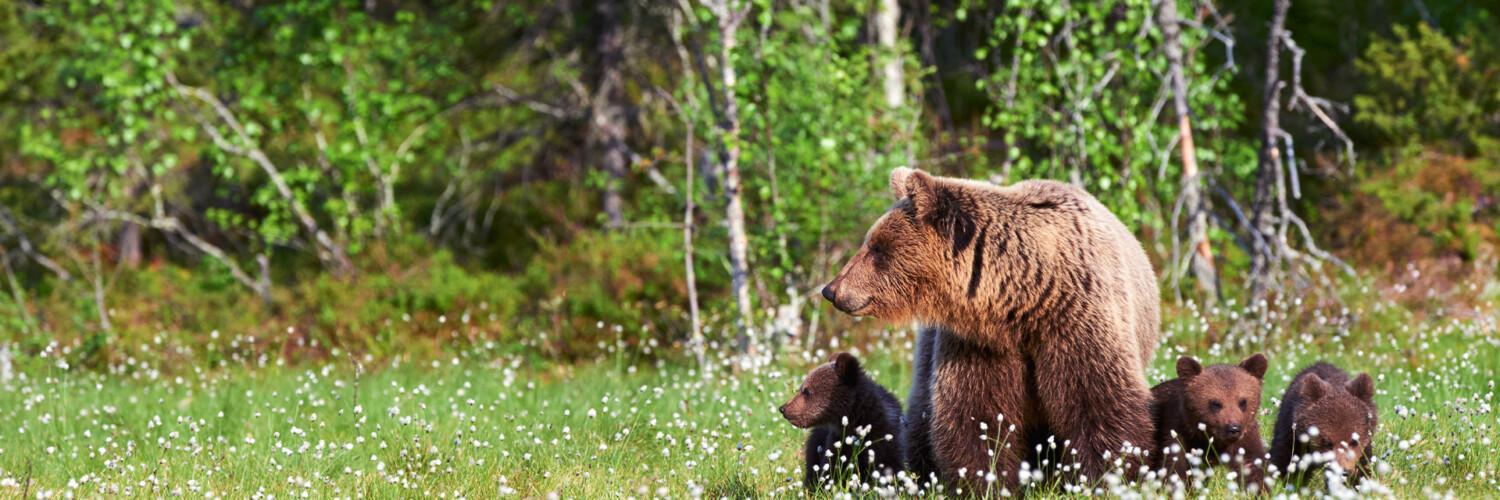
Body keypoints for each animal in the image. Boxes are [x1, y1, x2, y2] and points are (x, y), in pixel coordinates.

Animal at [786, 349, 900, 486]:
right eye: (802, 389)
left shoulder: (883, 440)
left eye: (807, 391)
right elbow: (832, 469)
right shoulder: (837, 441)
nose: (783, 409)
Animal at [822, 166, 1158, 489]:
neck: (1024, 298)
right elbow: (976, 416)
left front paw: (1106, 477)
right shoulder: (981, 343)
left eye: (876, 247)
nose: (832, 289)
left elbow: (1097, 403)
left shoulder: (1076, 318)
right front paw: (987, 481)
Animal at [1152, 352, 1272, 489]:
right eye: (1215, 403)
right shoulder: (1177, 431)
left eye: (1243, 402)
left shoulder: (1246, 436)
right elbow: (1175, 468)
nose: (1233, 428)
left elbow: (1251, 465)